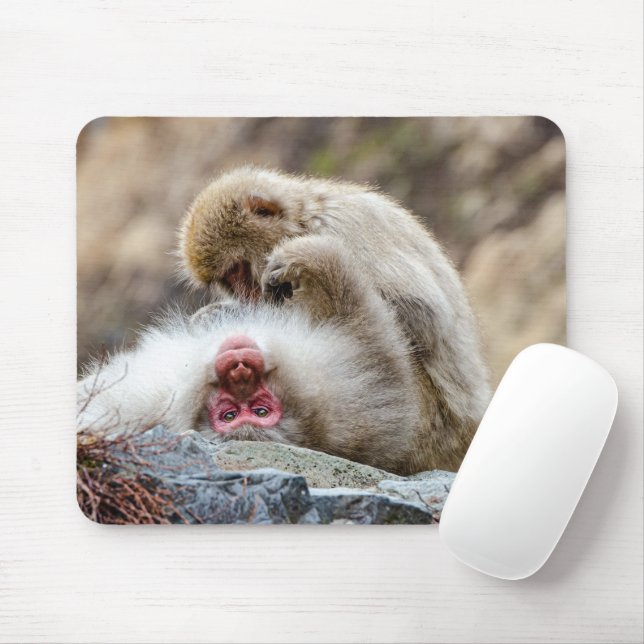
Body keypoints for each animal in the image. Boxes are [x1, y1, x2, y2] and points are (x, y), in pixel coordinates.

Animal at [78, 237, 424, 475]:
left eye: (259, 411)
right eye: (230, 415)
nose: (240, 370)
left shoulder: (354, 401)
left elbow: (364, 329)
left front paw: (310, 258)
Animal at [178, 166, 491, 471]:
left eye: (238, 270)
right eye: (228, 280)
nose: (246, 293)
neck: (304, 220)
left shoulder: (343, 227)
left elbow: (423, 317)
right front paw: (220, 314)